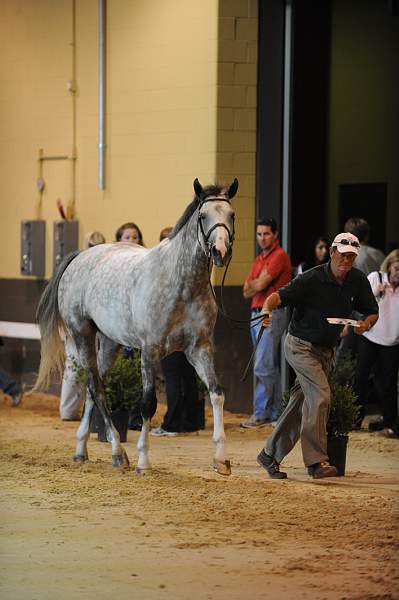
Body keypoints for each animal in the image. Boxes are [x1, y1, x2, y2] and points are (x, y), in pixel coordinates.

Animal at [35, 177, 238, 474]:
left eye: (231, 215)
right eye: (203, 216)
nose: (220, 251)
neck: (183, 284)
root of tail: (81, 256)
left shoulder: (199, 349)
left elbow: (217, 394)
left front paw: (221, 459)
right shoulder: (150, 350)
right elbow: (147, 404)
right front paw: (143, 461)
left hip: (110, 343)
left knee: (93, 388)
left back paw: (83, 450)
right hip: (82, 335)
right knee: (97, 388)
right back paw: (118, 453)